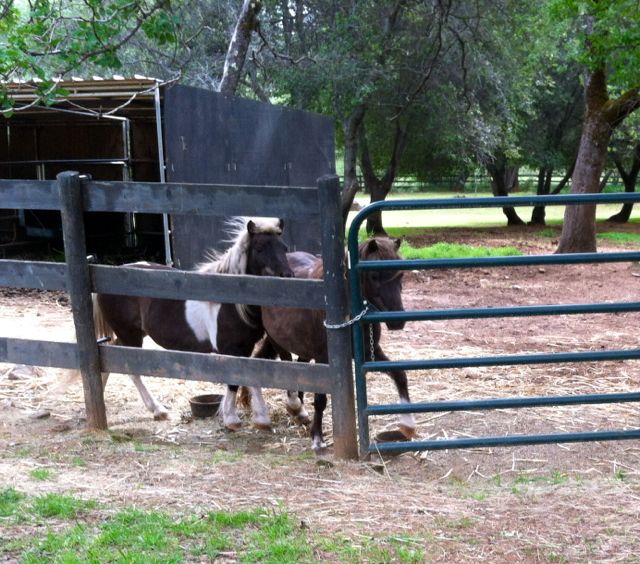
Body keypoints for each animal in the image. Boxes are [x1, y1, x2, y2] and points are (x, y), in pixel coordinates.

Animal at [92, 217, 293, 429]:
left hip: (131, 334)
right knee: (131, 369)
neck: (231, 302)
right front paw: (234, 419)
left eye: (284, 247)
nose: (287, 276)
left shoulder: (246, 347)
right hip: (129, 334)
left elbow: (249, 376)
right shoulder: (229, 349)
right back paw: (159, 410)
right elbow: (238, 379)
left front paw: (256, 418)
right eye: (260, 248)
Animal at [252, 237, 416, 452]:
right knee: (288, 372)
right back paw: (293, 408)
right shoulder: (325, 358)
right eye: (373, 275)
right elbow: (320, 399)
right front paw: (317, 438)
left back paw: (300, 413)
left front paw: (408, 424)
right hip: (277, 341)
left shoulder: (369, 352)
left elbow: (400, 375)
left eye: (401, 274)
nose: (397, 321)